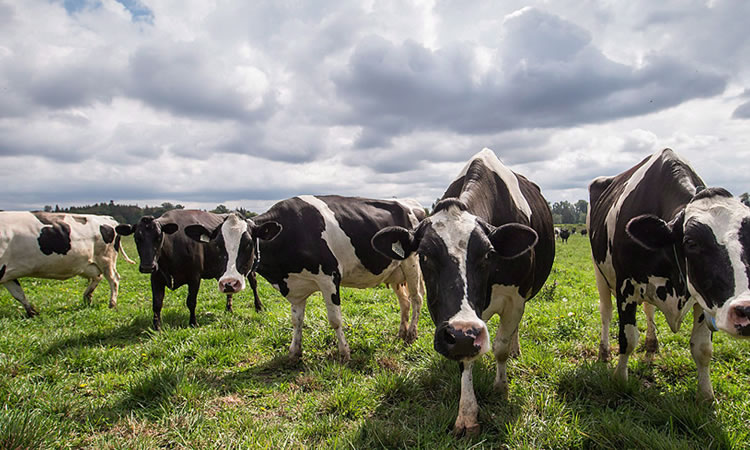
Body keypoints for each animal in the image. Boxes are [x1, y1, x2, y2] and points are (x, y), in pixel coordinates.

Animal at [0, 212, 134, 314]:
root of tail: (108, 219)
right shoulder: (7, 275)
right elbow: (18, 294)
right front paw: (32, 312)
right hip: (89, 264)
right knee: (97, 277)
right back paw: (87, 296)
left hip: (106, 259)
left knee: (113, 279)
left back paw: (112, 303)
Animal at [185, 195, 426, 360]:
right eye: (217, 245)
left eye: (248, 243)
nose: (229, 284)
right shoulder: (296, 287)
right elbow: (296, 320)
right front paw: (294, 351)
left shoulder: (329, 278)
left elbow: (335, 320)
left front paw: (344, 352)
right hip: (395, 272)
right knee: (404, 302)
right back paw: (401, 332)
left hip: (412, 264)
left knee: (416, 299)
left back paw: (412, 334)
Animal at [374, 149, 556, 438]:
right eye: (424, 255)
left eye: (488, 254)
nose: (461, 334)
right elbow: (465, 361)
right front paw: (467, 416)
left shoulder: (515, 299)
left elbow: (500, 347)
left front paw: (501, 387)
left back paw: (515, 349)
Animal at [592, 149, 750, 404]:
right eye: (691, 242)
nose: (745, 311)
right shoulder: (626, 287)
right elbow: (628, 338)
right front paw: (619, 380)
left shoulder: (701, 298)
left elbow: (702, 348)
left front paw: (705, 395)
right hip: (601, 275)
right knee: (606, 312)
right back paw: (604, 351)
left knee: (649, 311)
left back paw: (652, 345)